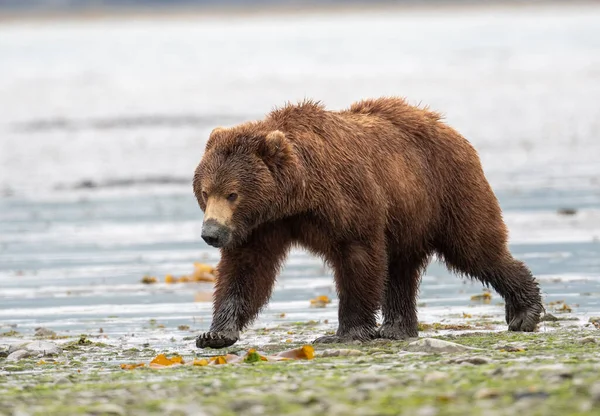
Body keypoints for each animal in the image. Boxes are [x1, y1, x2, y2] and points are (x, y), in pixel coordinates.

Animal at [192, 97, 544, 348]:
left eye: (233, 193)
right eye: (206, 191)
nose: (211, 233)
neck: (296, 196)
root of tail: (447, 126)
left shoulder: (347, 199)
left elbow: (358, 257)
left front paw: (345, 332)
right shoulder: (262, 225)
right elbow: (246, 270)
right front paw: (215, 334)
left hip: (449, 189)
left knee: (475, 248)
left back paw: (524, 311)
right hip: (407, 216)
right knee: (401, 269)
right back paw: (397, 328)